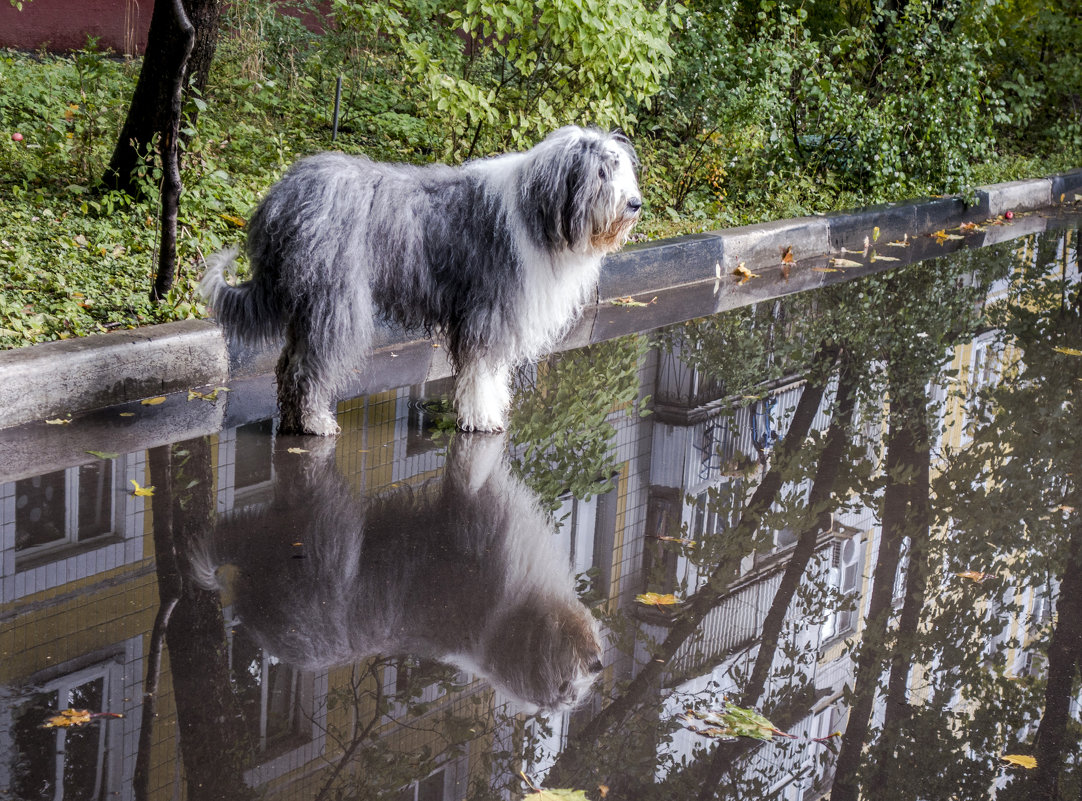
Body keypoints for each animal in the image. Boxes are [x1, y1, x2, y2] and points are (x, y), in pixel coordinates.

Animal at [190, 430, 605, 714]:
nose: (598, 665)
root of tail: (261, 618)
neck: (501, 623)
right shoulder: (476, 526)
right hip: (328, 533)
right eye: (564, 688)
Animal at [201, 126, 640, 435]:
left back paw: (293, 420)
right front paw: (482, 418)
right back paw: (315, 423)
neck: (538, 212)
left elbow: (490, 374)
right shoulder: (488, 311)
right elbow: (481, 372)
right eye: (602, 172)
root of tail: (283, 197)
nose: (636, 204)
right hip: (336, 300)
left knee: (288, 364)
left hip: (306, 303)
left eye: (621, 168)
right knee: (309, 367)